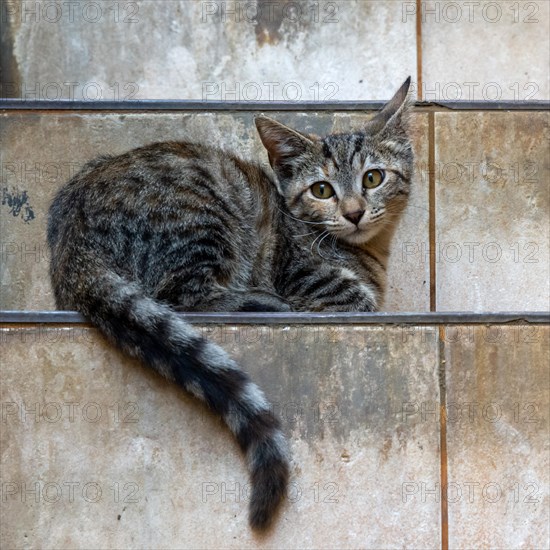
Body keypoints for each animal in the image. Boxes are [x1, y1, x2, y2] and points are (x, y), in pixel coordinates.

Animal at [48, 77, 414, 532]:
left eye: (373, 177)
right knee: (182, 297)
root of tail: (71, 244)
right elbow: (356, 299)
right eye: (322, 190)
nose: (354, 212)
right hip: (201, 215)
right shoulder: (307, 278)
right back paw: (262, 302)